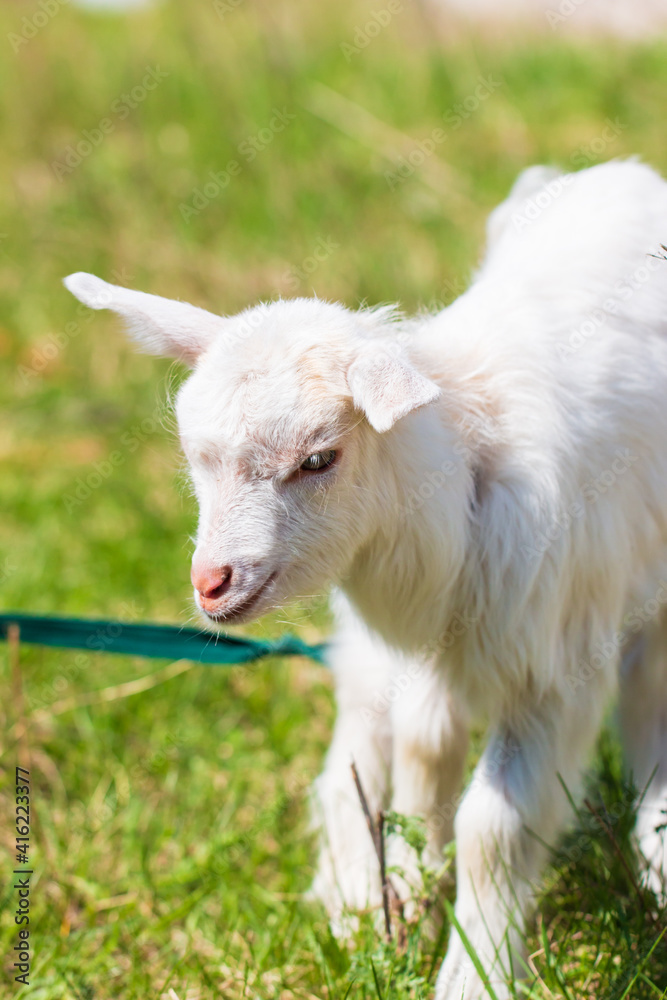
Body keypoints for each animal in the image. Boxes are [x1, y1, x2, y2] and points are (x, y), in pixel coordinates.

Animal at [65, 159, 667, 999]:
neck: (463, 476)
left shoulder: (552, 668)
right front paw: (402, 896)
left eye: (319, 457)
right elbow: (422, 748)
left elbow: (494, 830)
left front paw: (473, 972)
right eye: (196, 457)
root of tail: (625, 173)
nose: (212, 582)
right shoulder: (427, 641)